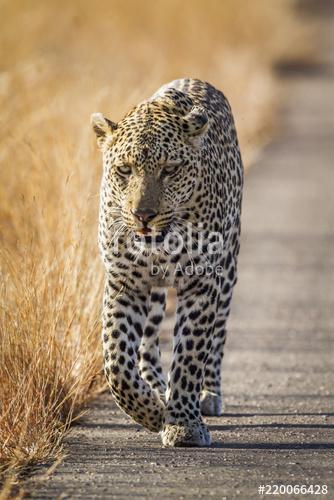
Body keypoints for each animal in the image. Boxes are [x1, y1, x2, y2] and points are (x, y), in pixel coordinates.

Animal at [91, 77, 243, 446]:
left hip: (228, 270)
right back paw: (158, 390)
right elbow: (116, 361)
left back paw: (209, 395)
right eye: (124, 170)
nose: (143, 215)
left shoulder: (202, 282)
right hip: (155, 293)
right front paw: (152, 411)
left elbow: (190, 355)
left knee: (218, 334)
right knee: (147, 342)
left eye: (170, 170)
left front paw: (184, 424)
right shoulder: (124, 283)